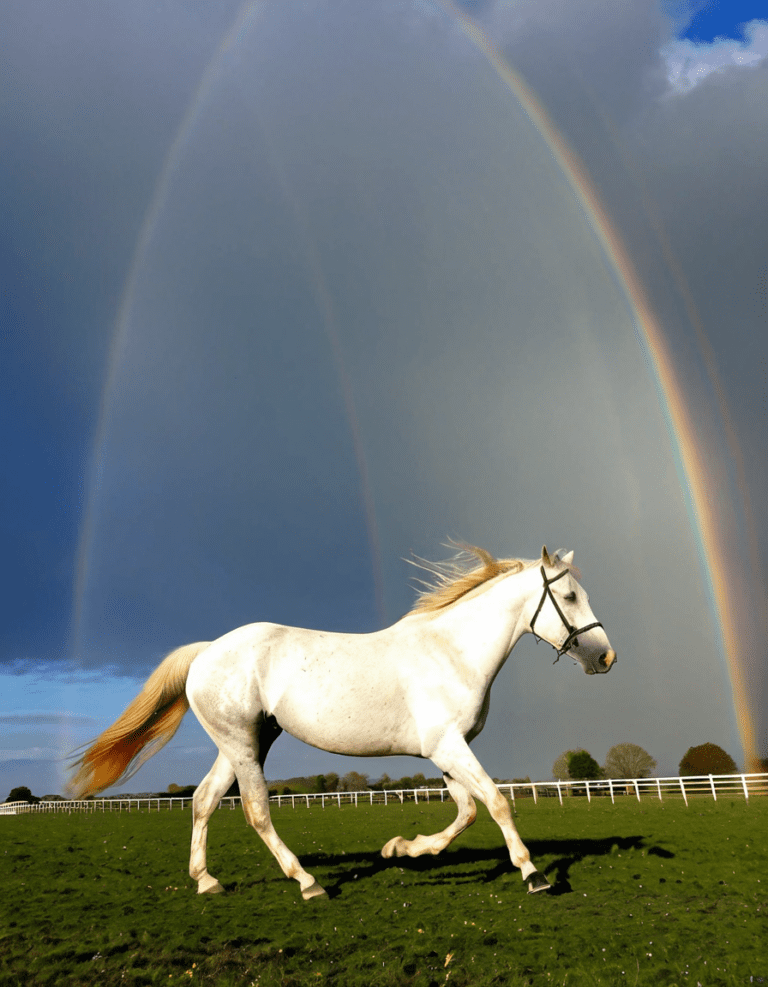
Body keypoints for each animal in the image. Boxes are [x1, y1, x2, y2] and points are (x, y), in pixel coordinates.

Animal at [69, 544, 615, 898]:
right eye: (570, 597)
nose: (606, 657)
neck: (451, 652)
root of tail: (206, 652)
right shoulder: (449, 746)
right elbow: (497, 804)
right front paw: (534, 874)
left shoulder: (445, 751)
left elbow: (466, 813)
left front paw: (401, 850)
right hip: (243, 745)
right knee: (256, 812)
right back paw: (307, 883)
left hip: (245, 743)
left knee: (203, 802)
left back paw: (207, 881)